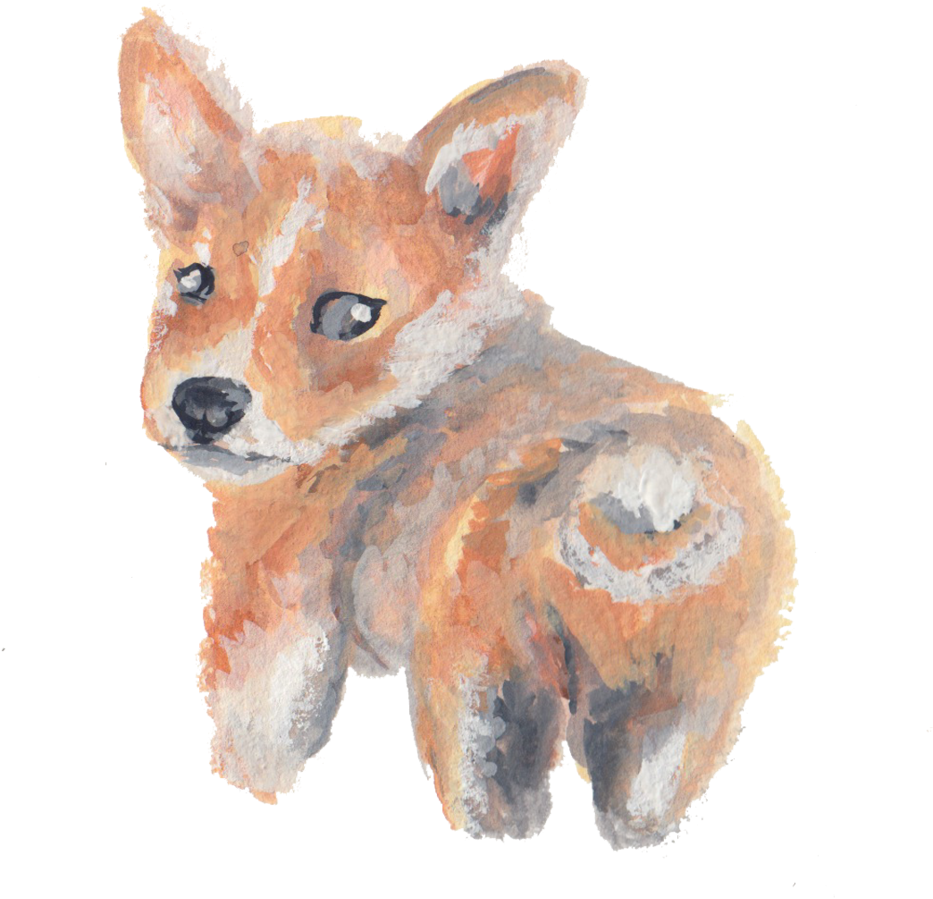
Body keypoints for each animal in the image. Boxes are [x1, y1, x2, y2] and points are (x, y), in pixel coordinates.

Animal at [118, 9, 796, 849]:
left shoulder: (271, 630)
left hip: (480, 704)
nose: (205, 403)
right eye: (193, 281)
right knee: (638, 810)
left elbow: (257, 750)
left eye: (350, 315)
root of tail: (650, 473)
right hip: (671, 726)